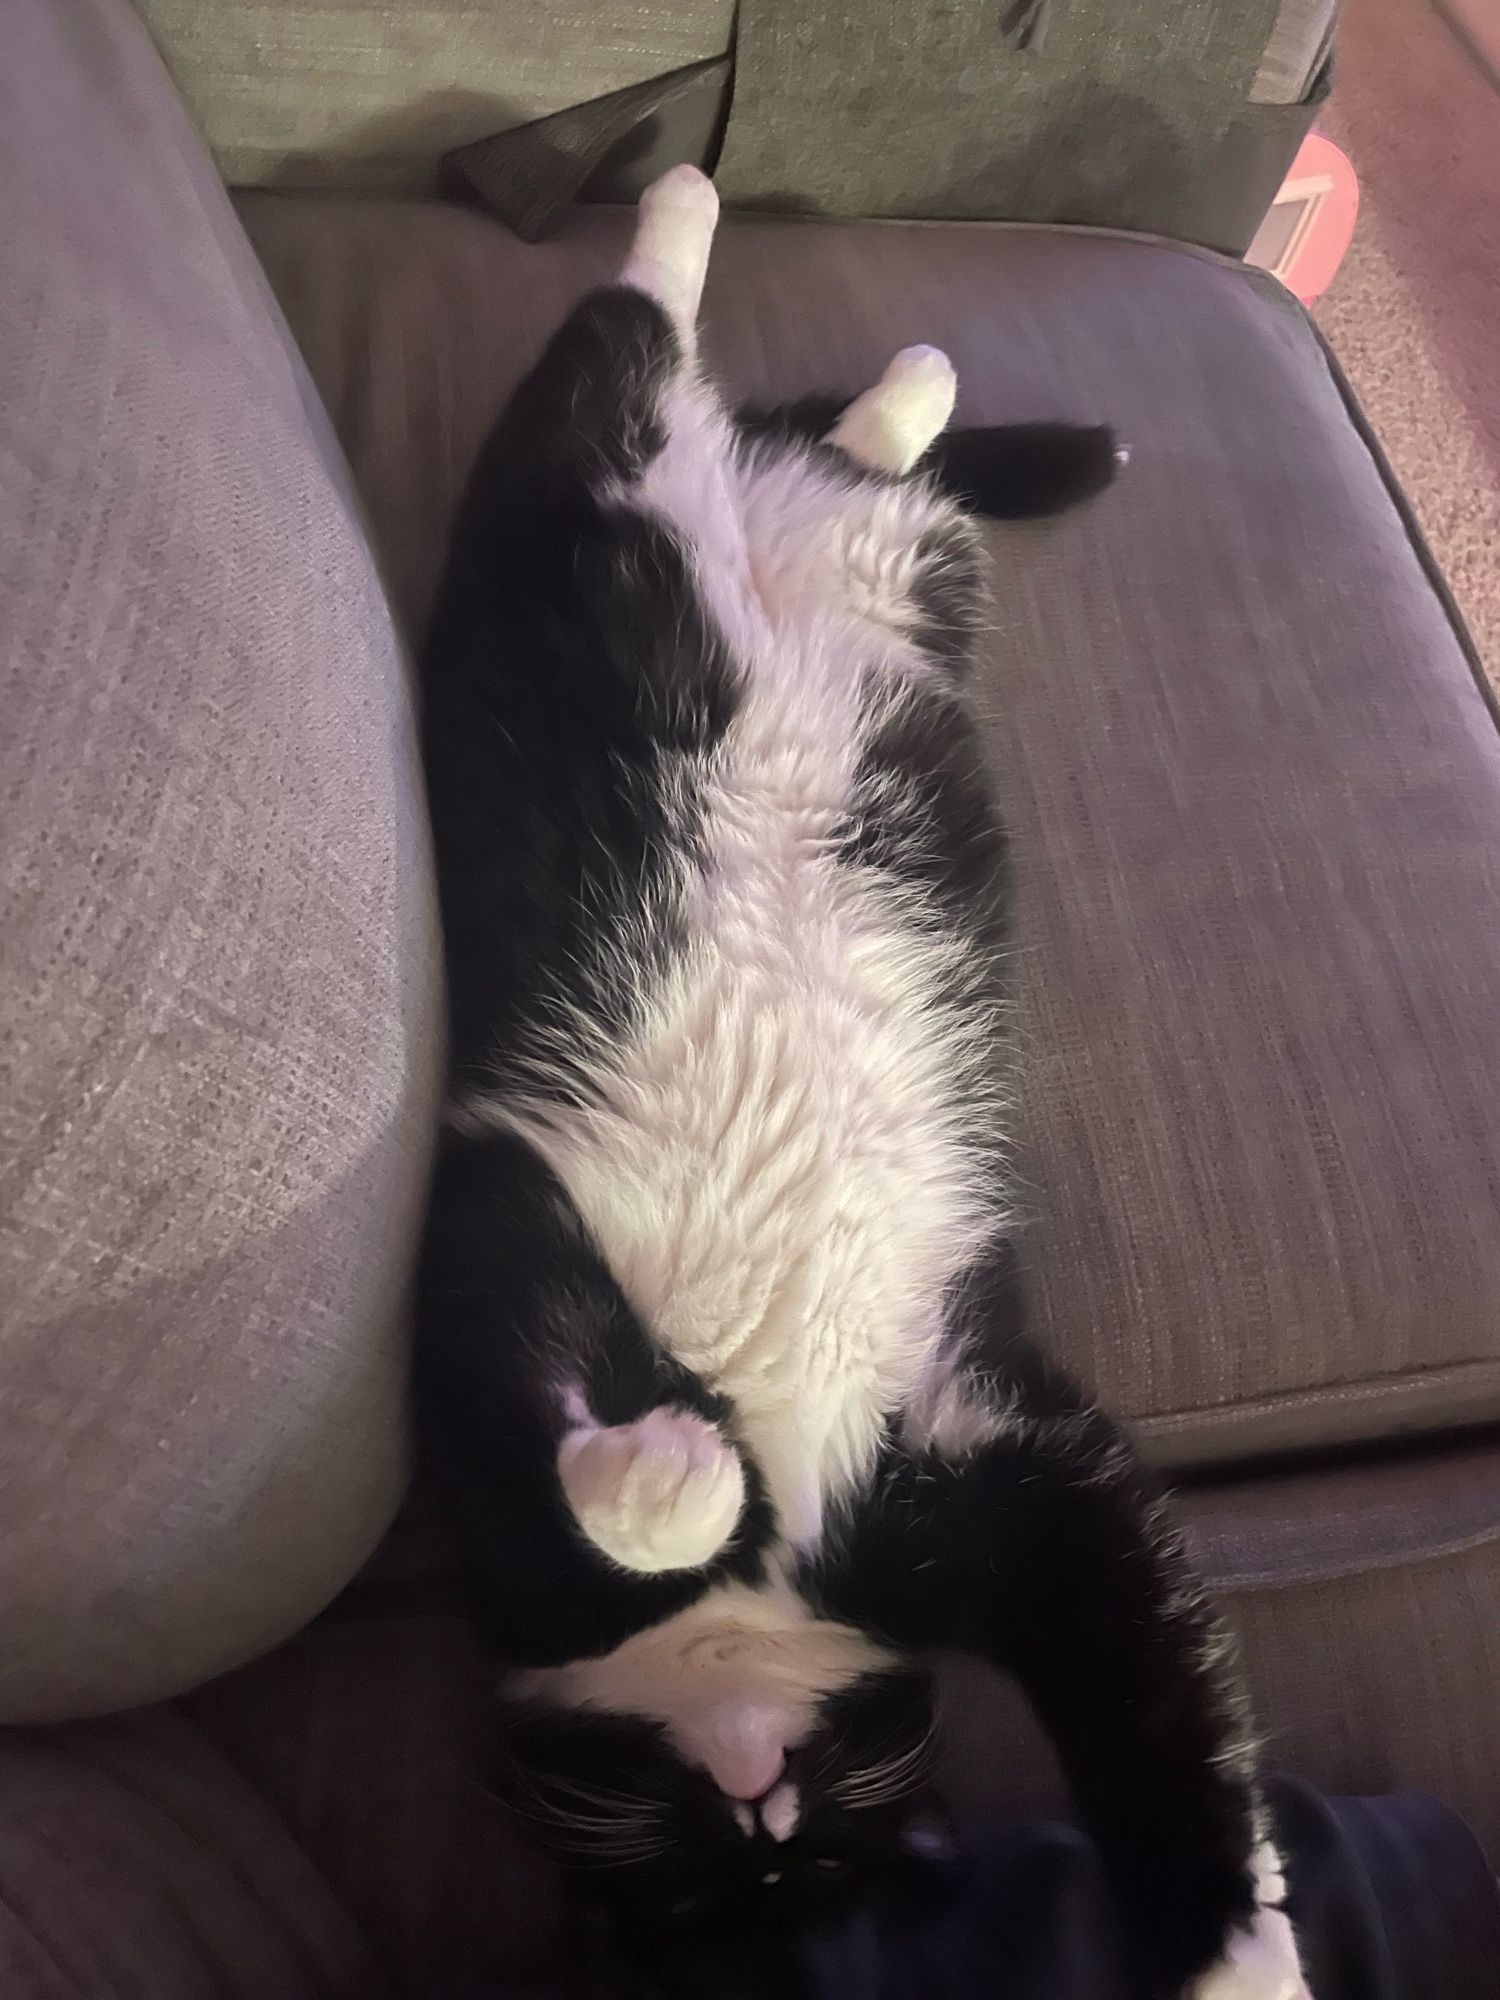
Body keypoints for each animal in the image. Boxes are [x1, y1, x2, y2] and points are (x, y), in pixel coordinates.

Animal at [414, 172, 1312, 2000]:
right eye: (706, 1894)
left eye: (817, 1846)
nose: (762, 1813)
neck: (785, 1564)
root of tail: (751, 498)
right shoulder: (506, 1206)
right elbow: (540, 1401)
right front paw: (671, 1481)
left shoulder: (984, 1463)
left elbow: (1161, 1700)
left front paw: (1243, 1962)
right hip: (626, 515)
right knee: (673, 385)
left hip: (768, 534)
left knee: (696, 365)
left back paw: (789, 288)